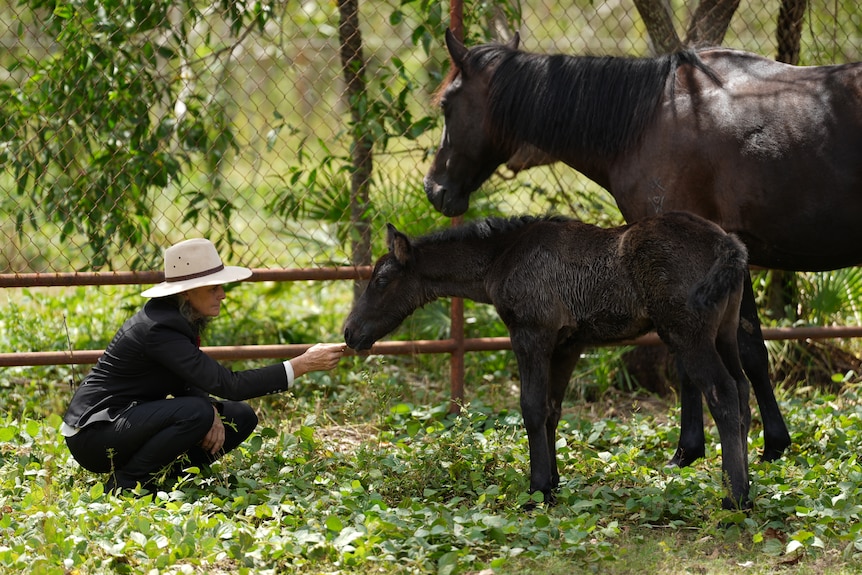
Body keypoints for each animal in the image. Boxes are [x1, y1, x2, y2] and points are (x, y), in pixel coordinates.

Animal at [343, 212, 753, 510]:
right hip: (725, 333)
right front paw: (554, 486)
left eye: (381, 281)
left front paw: (536, 489)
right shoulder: (568, 344)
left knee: (723, 393)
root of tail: (728, 244)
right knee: (743, 390)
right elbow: (553, 409)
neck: (502, 257)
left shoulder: (531, 334)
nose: (350, 333)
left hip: (688, 335)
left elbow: (532, 407)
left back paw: (734, 498)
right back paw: (748, 487)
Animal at [424, 30, 862, 468]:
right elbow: (751, 349)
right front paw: (772, 443)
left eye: (447, 105)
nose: (434, 189)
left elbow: (693, 360)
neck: (648, 122)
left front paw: (688, 449)